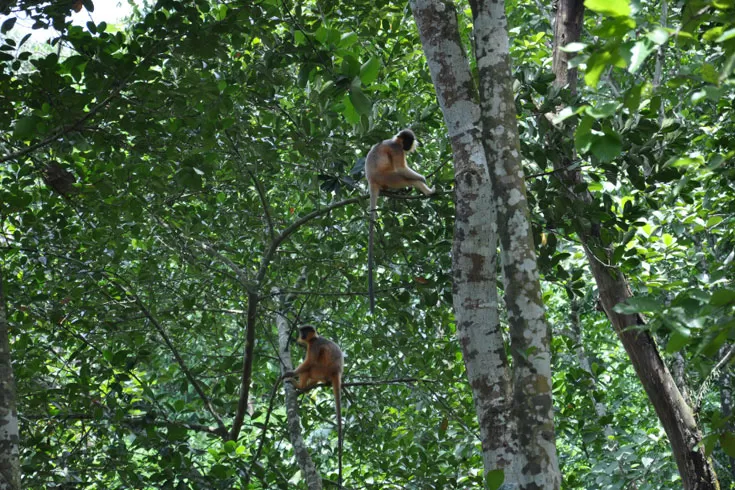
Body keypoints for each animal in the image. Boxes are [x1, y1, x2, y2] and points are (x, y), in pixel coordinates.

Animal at [284, 324, 346, 488]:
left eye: (304, 331)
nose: (301, 335)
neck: (314, 338)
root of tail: (337, 372)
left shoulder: (314, 346)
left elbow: (309, 362)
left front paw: (291, 373)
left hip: (322, 370)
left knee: (310, 367)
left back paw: (300, 386)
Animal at [366, 128, 434, 312]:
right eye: (407, 142)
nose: (409, 146)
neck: (395, 141)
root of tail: (371, 180)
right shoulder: (397, 150)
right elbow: (402, 168)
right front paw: (423, 178)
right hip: (389, 177)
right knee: (404, 176)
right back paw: (427, 190)